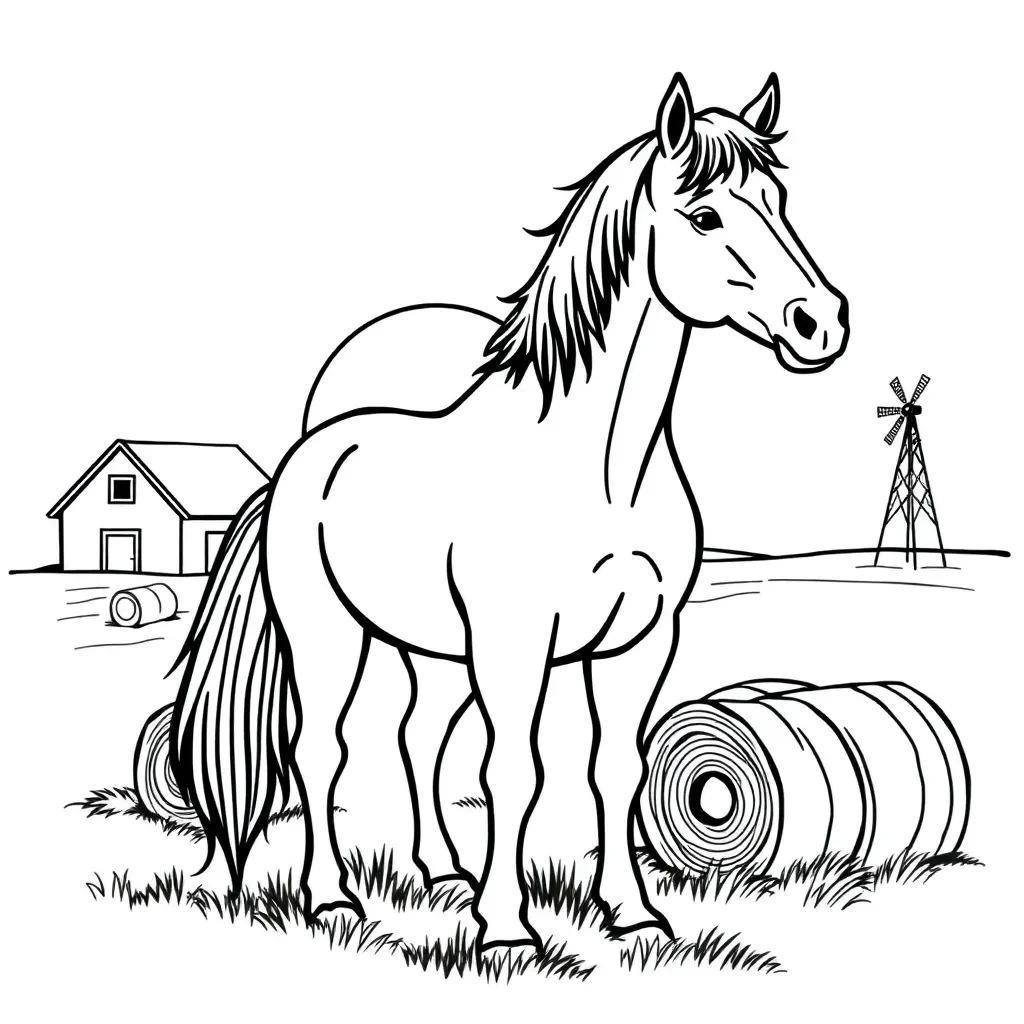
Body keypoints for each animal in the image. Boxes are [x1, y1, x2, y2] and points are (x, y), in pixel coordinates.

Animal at [170, 70, 849, 951]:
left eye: (780, 200)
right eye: (705, 216)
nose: (821, 322)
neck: (604, 467)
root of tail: (306, 456)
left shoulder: (640, 641)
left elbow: (616, 768)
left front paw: (632, 913)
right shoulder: (515, 643)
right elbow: (514, 771)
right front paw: (505, 927)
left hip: (434, 650)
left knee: (418, 737)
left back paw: (438, 874)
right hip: (329, 635)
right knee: (320, 750)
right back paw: (334, 898)